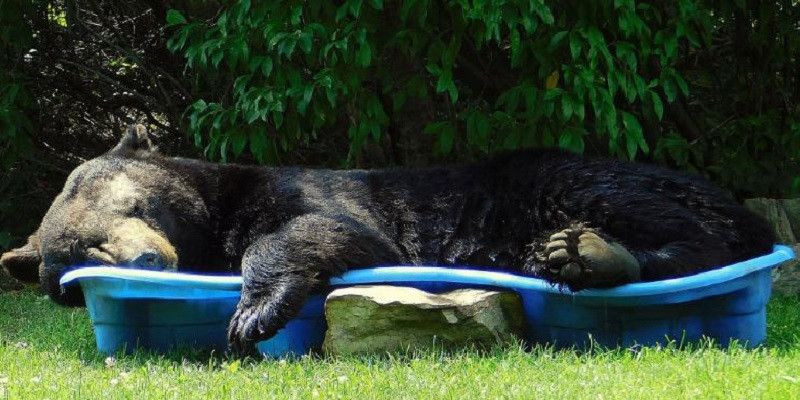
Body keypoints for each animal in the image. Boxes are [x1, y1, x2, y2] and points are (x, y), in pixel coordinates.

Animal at [0, 126, 776, 354]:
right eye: (76, 259)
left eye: (131, 206)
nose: (145, 257)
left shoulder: (308, 192)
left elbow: (328, 230)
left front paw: (254, 311)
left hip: (575, 179)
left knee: (681, 223)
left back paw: (587, 251)